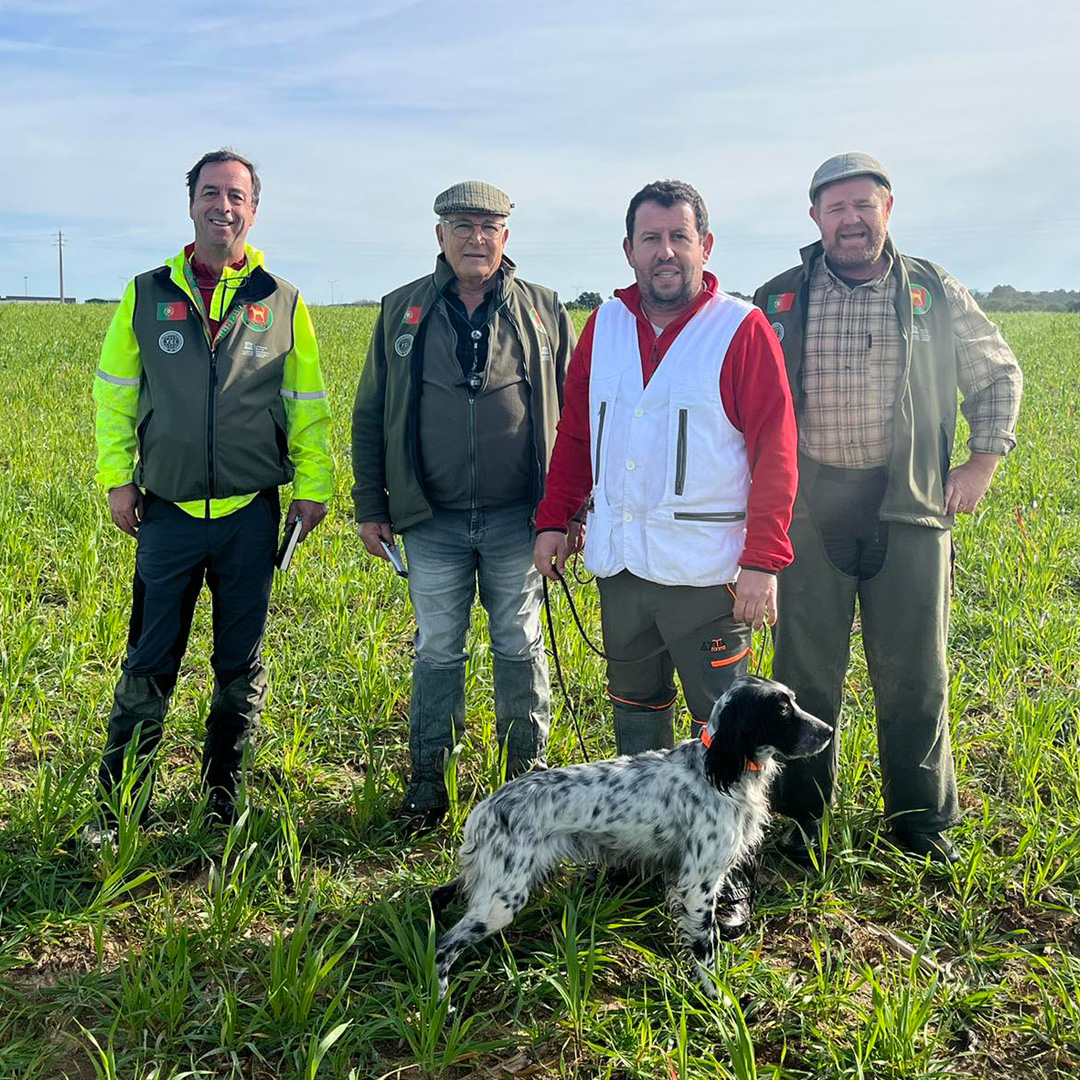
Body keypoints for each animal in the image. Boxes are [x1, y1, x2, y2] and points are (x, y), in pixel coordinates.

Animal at [429, 673, 825, 993]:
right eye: (782, 710)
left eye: (793, 702)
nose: (828, 730)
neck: (717, 772)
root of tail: (486, 808)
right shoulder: (698, 886)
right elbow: (706, 952)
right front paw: (720, 1002)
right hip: (501, 899)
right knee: (444, 946)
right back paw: (442, 1004)